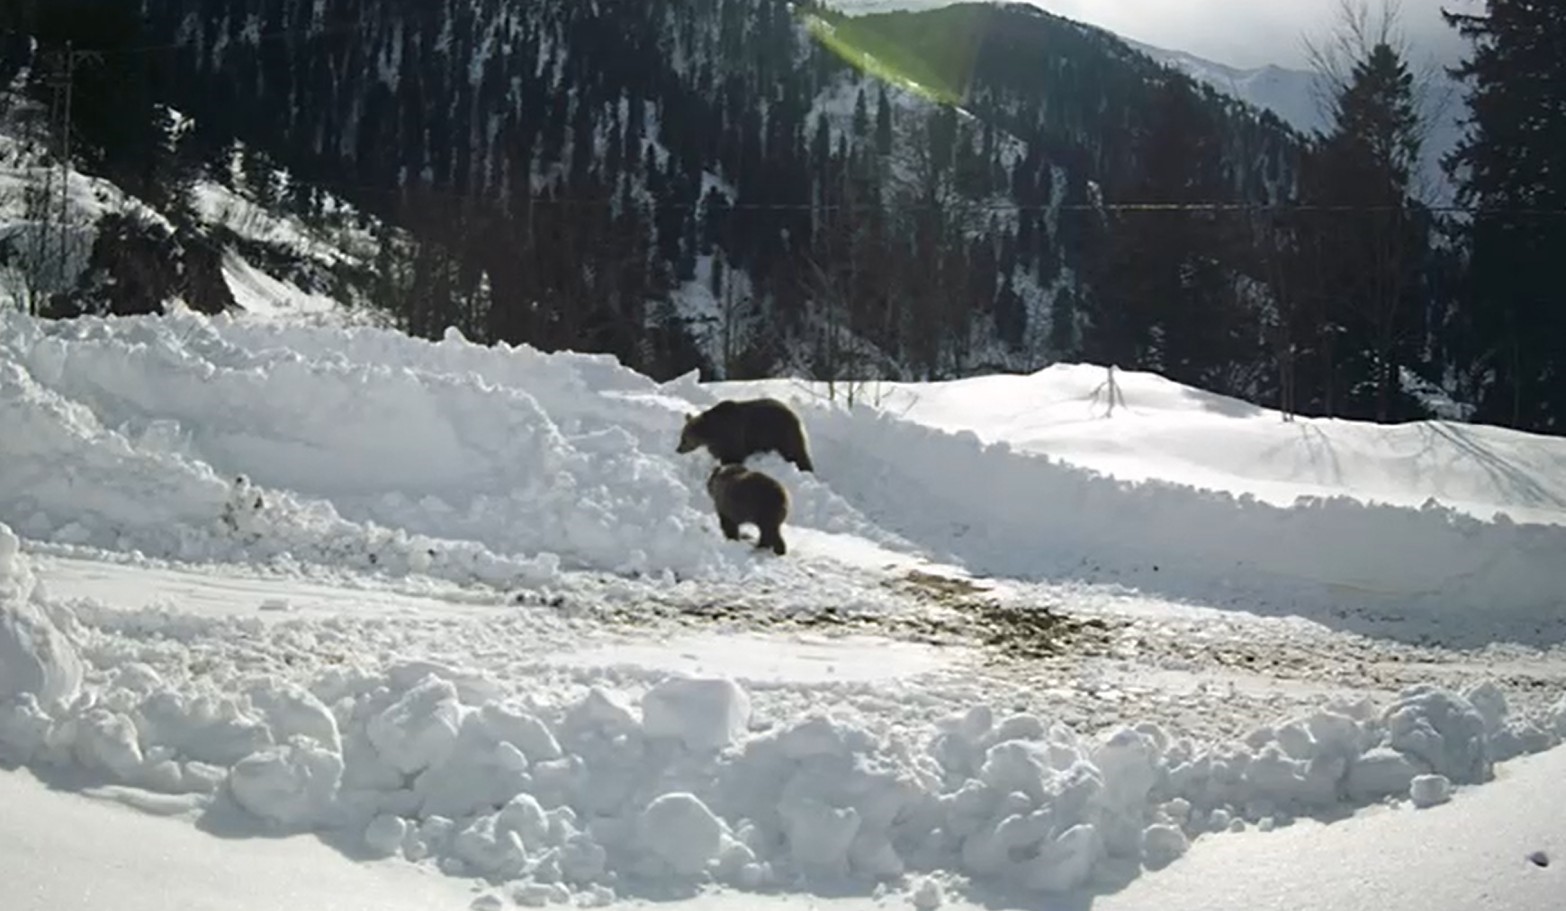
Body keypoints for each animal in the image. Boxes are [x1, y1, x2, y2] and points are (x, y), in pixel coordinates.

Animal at [676, 397, 814, 475]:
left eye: (683, 438)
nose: (678, 449)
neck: (712, 433)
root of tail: (795, 415)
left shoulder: (731, 436)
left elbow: (733, 456)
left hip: (781, 434)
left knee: (795, 454)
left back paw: (806, 469)